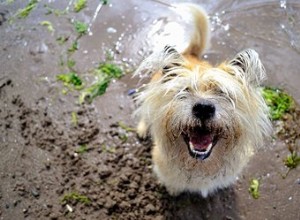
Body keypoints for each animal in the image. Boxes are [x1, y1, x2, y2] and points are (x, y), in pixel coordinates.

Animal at [134, 3, 272, 197]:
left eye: (222, 92)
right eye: (184, 90)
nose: (204, 108)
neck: (200, 165)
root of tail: (189, 54)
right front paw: (173, 191)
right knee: (145, 114)